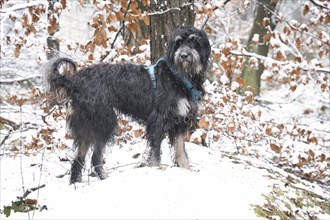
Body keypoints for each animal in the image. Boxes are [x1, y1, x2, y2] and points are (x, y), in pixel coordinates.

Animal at [44, 25, 211, 184]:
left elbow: (180, 149)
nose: (184, 55)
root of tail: (74, 81)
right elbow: (156, 151)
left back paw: (76, 182)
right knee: (95, 156)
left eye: (194, 41)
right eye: (178, 42)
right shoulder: (158, 120)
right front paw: (156, 169)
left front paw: (185, 169)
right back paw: (104, 178)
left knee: (79, 158)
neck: (178, 77)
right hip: (104, 121)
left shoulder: (180, 121)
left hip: (88, 125)